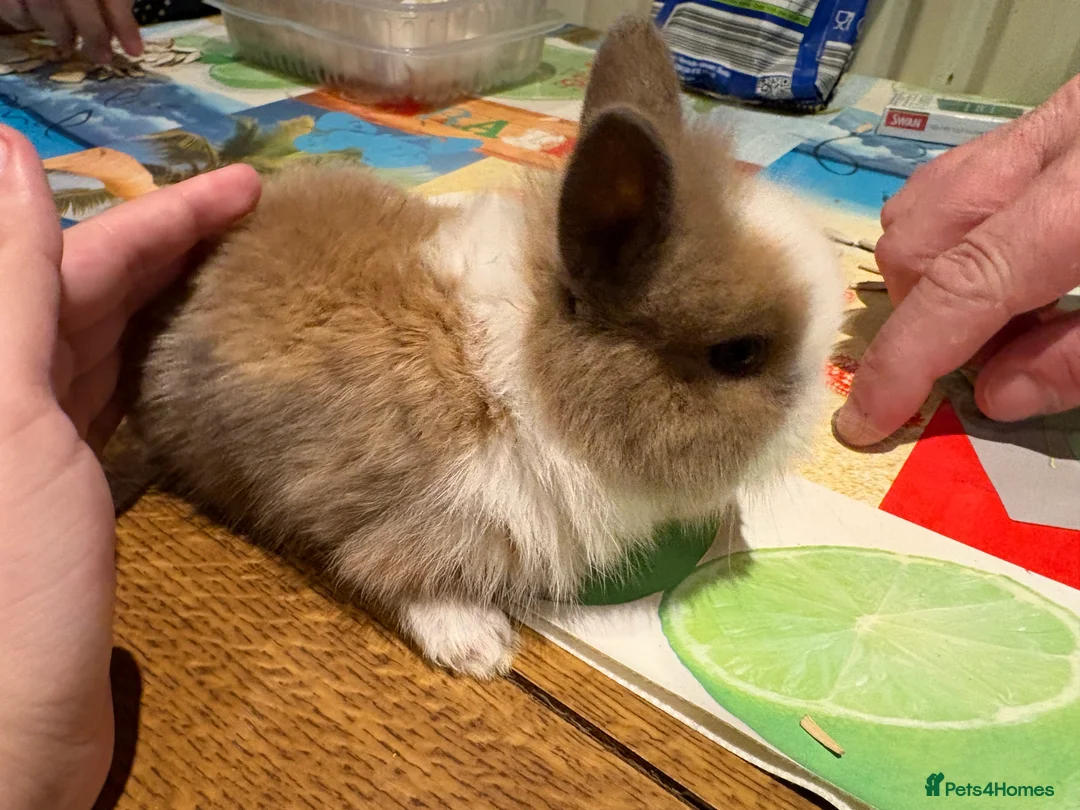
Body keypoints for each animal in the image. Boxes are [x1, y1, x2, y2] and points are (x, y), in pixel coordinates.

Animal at [105, 14, 845, 679]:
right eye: (738, 353)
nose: (811, 430)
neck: (531, 378)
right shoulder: (402, 507)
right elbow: (396, 573)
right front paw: (481, 649)